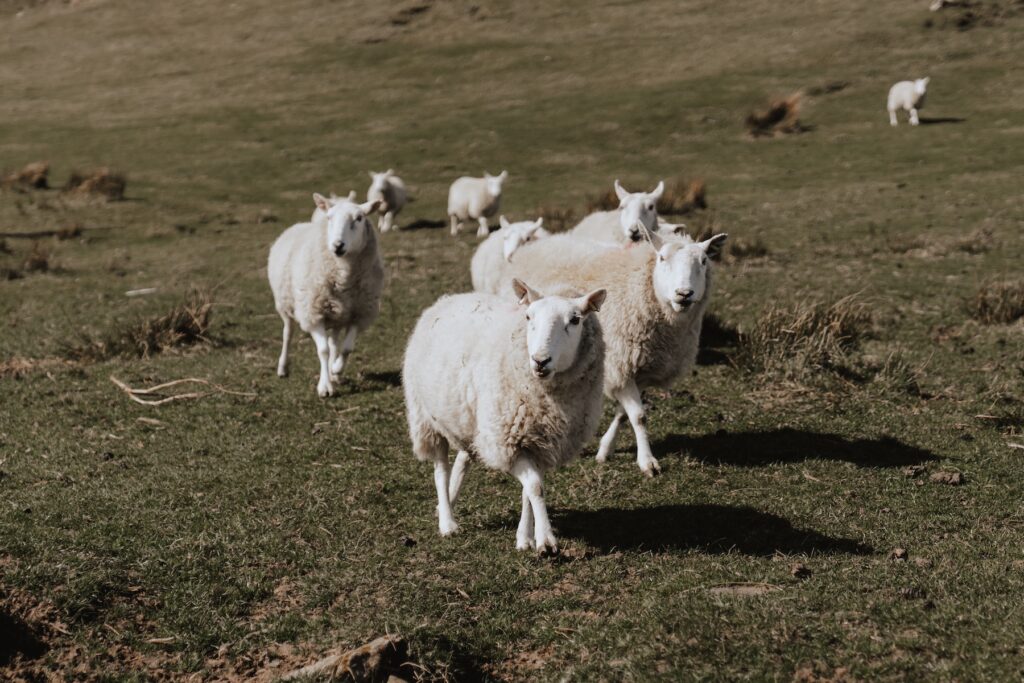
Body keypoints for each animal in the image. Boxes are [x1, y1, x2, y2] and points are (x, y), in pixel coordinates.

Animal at [268, 193, 384, 398]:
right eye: (330, 218)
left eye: (359, 218)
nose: (338, 245)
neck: (344, 274)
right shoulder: (313, 314)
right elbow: (322, 350)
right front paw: (325, 387)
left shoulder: (359, 313)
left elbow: (346, 348)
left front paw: (336, 370)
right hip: (286, 305)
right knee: (288, 334)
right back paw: (283, 368)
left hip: (337, 315)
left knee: (334, 343)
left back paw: (333, 372)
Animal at [403, 279, 607, 553]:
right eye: (528, 316)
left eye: (575, 320)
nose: (540, 361)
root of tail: (449, 298)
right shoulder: (509, 441)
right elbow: (535, 487)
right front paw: (546, 540)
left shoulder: (539, 443)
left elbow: (529, 490)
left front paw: (525, 538)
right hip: (427, 419)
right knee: (440, 470)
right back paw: (447, 521)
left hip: (472, 422)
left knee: (463, 459)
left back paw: (450, 499)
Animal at [498, 224, 727, 477]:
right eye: (662, 258)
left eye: (704, 261)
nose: (684, 294)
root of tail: (534, 246)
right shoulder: (621, 364)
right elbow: (639, 416)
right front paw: (647, 461)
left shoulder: (641, 370)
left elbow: (624, 414)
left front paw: (605, 449)